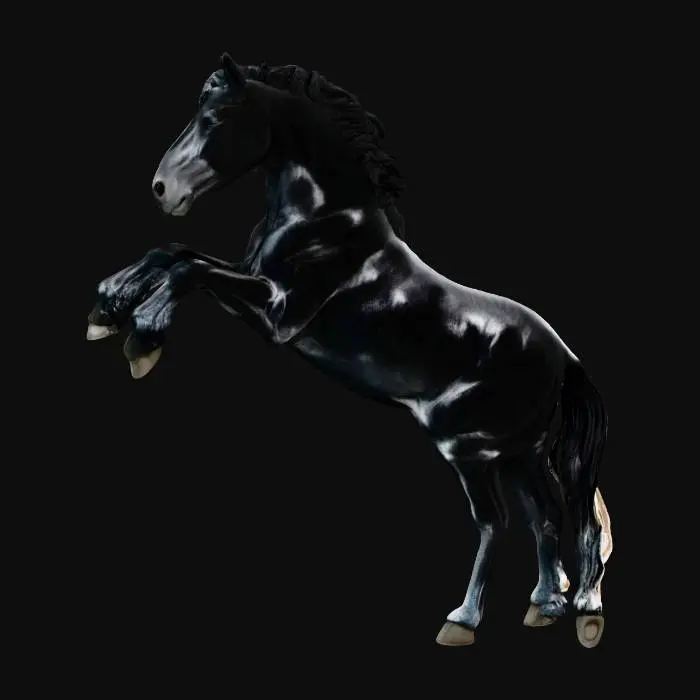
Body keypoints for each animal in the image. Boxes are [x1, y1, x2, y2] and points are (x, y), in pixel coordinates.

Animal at [86, 54, 613, 648]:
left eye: (218, 117)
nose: (162, 189)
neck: (323, 222)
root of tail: (563, 356)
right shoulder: (250, 286)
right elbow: (173, 252)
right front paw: (106, 310)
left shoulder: (276, 316)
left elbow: (189, 269)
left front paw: (142, 337)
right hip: (520, 452)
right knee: (545, 517)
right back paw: (547, 605)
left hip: (470, 450)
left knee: (504, 521)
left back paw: (470, 620)